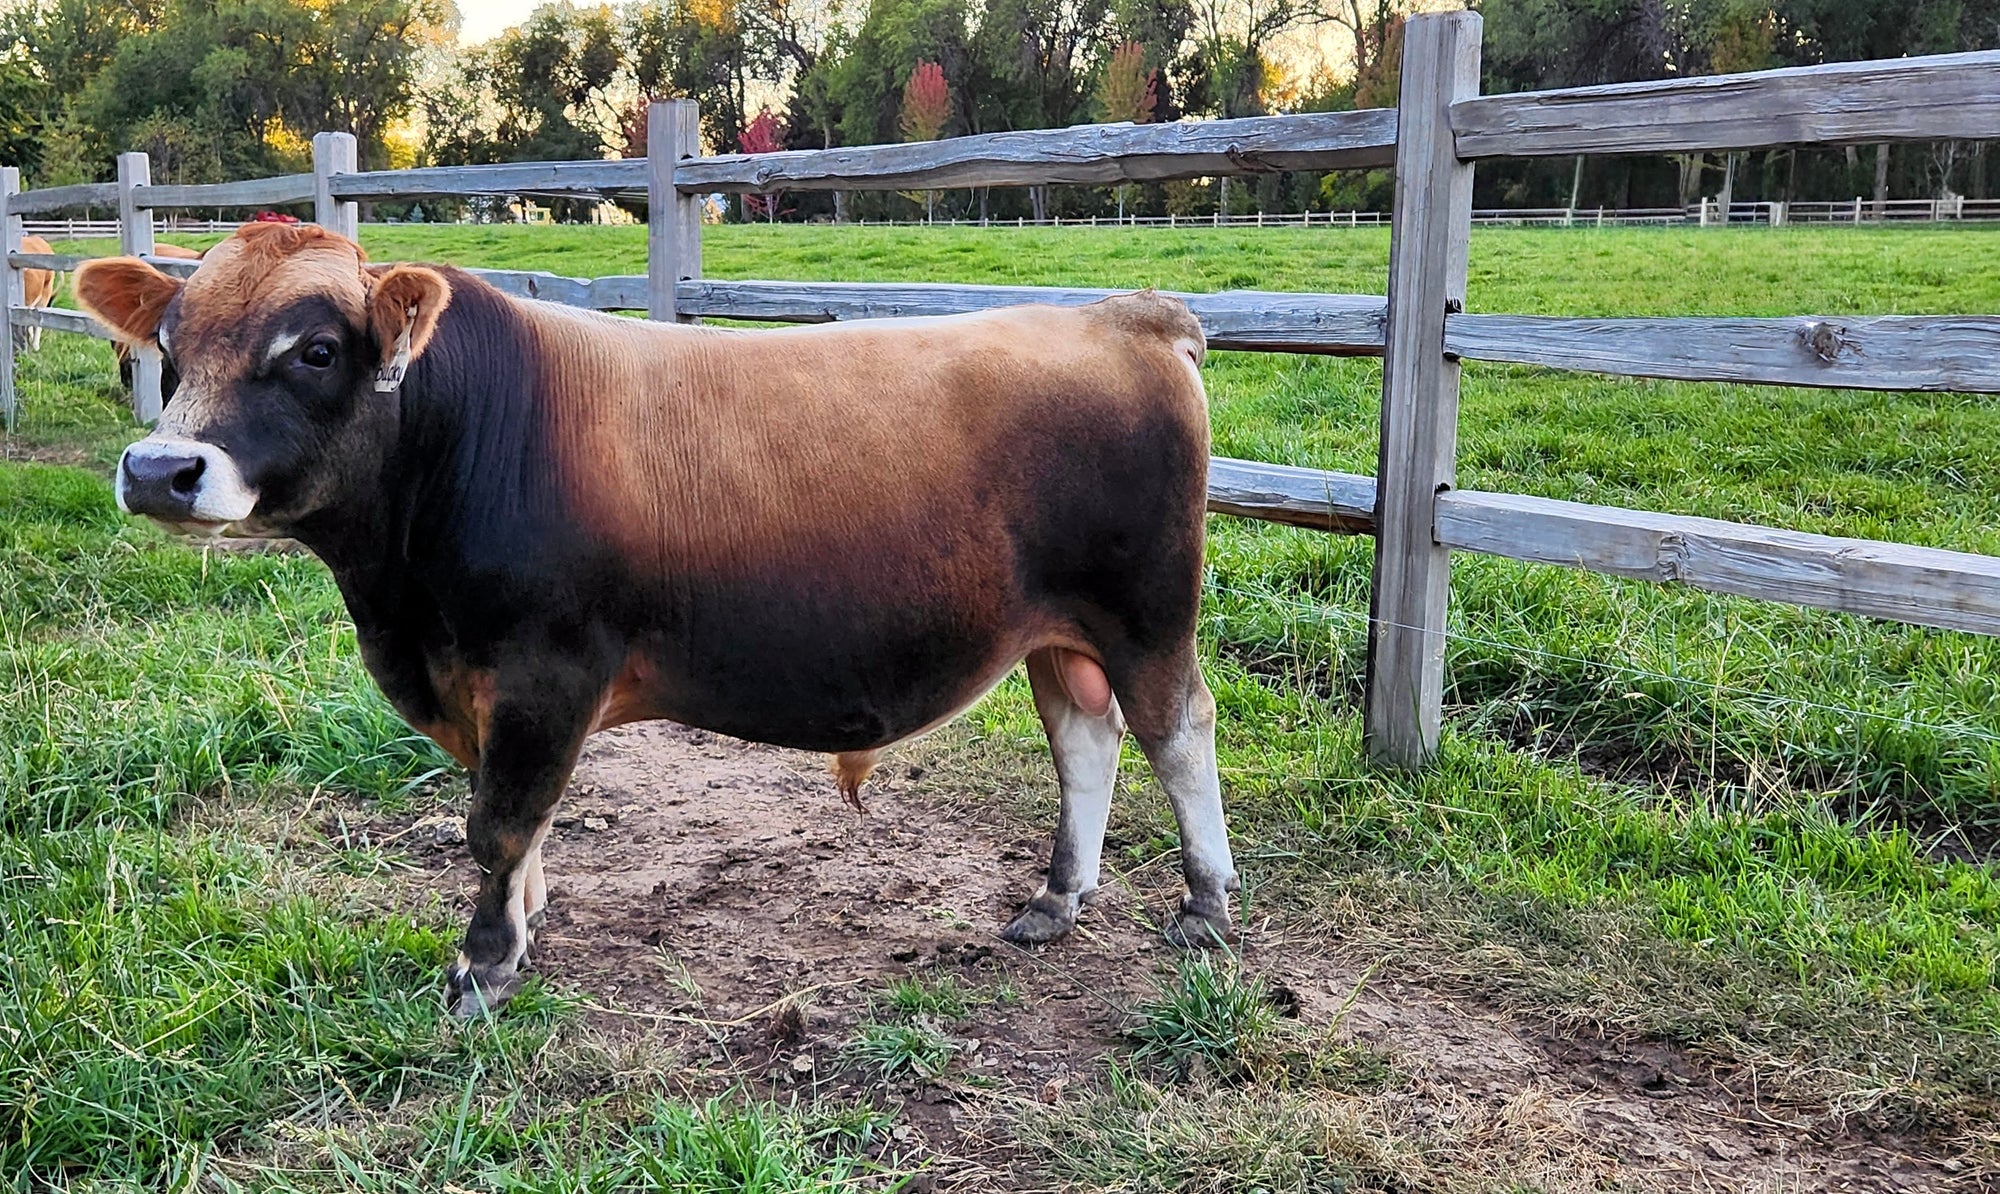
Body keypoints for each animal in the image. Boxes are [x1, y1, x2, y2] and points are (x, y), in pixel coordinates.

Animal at [74, 222, 1238, 1017]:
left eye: (315, 350)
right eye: (170, 340)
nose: (160, 469)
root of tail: (1118, 313)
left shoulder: (541, 670)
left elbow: (498, 822)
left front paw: (482, 967)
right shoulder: (477, 682)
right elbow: (519, 818)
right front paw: (524, 922)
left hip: (1146, 613)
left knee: (1177, 731)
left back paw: (1205, 908)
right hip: (1056, 633)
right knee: (1084, 741)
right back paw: (1056, 901)